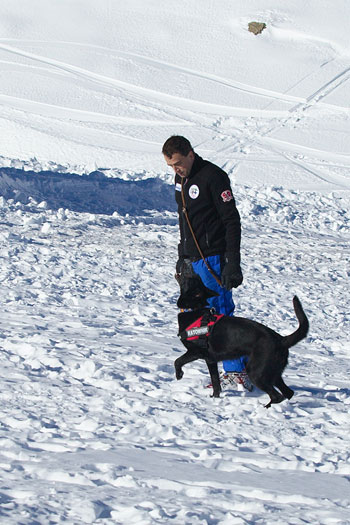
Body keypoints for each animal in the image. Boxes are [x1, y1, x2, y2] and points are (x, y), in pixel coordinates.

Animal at [176, 276, 308, 408]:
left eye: (189, 280)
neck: (193, 310)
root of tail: (281, 339)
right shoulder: (211, 360)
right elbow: (215, 383)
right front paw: (214, 398)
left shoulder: (196, 352)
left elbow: (177, 361)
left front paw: (179, 375)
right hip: (273, 373)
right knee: (288, 392)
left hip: (256, 372)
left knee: (277, 396)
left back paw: (265, 408)